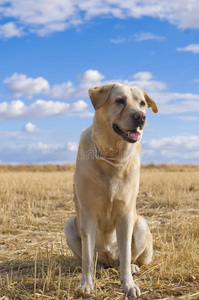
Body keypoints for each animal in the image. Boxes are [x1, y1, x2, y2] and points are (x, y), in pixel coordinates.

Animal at [64, 82, 158, 298]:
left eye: (142, 103)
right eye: (120, 101)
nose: (141, 117)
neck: (113, 157)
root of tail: (108, 257)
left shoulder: (126, 215)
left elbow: (126, 255)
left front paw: (128, 284)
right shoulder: (87, 214)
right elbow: (87, 258)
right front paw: (86, 284)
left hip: (141, 225)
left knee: (127, 258)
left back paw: (132, 267)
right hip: (69, 225)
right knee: (92, 259)